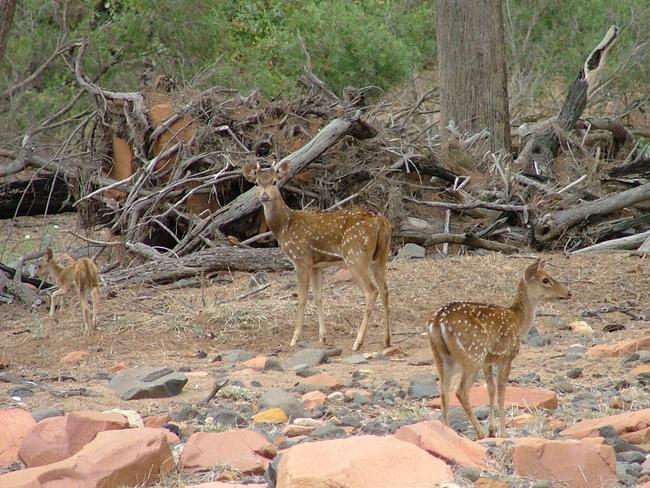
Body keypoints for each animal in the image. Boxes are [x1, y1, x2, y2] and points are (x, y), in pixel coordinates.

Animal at [240, 161, 388, 350]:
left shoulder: (301, 259)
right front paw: (322, 337)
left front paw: (294, 338)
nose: (265, 196)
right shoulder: (317, 265)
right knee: (385, 290)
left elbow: (302, 297)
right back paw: (386, 340)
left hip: (355, 255)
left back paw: (357, 342)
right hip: (381, 256)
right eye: (256, 183)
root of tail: (381, 222)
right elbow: (318, 297)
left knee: (372, 291)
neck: (284, 227)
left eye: (274, 181)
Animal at [428, 260, 568, 438]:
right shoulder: (507, 356)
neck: (519, 322)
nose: (569, 293)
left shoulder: (488, 361)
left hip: (442, 356)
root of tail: (438, 321)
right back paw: (479, 433)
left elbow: (491, 389)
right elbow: (502, 392)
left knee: (444, 391)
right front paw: (503, 433)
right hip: (473, 354)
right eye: (545, 279)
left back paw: (447, 430)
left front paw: (493, 430)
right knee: (460, 391)